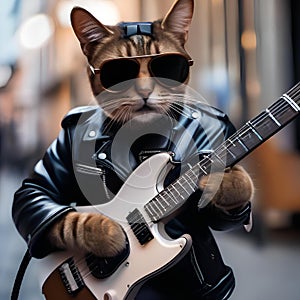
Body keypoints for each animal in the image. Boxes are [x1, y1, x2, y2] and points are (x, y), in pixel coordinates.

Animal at [48, 0, 254, 258]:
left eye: (167, 66)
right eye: (118, 71)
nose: (145, 90)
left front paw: (229, 182)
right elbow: (47, 204)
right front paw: (105, 232)